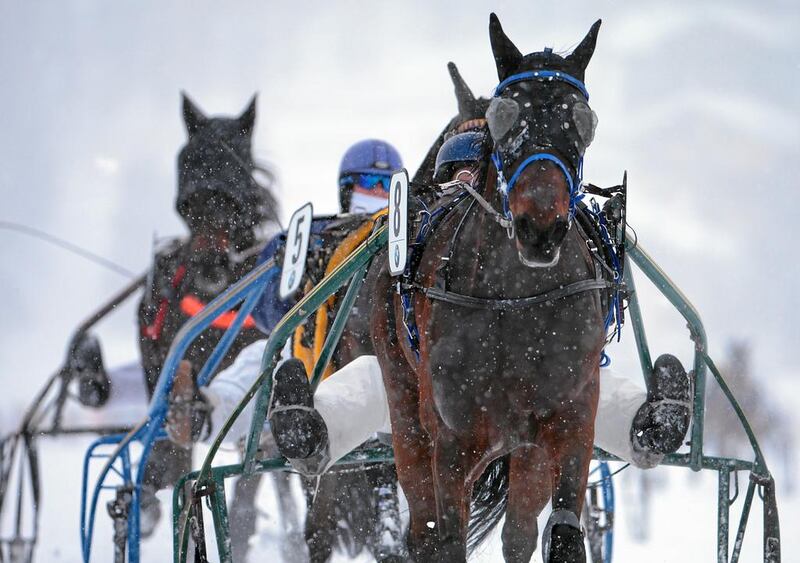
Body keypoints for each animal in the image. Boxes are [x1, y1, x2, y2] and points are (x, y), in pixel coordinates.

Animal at [368, 14, 608, 563]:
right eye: (505, 117)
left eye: (582, 123)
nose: (539, 226)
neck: (515, 301)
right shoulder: (453, 439)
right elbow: (444, 536)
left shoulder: (570, 420)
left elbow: (562, 534)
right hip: (404, 406)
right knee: (422, 525)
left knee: (518, 530)